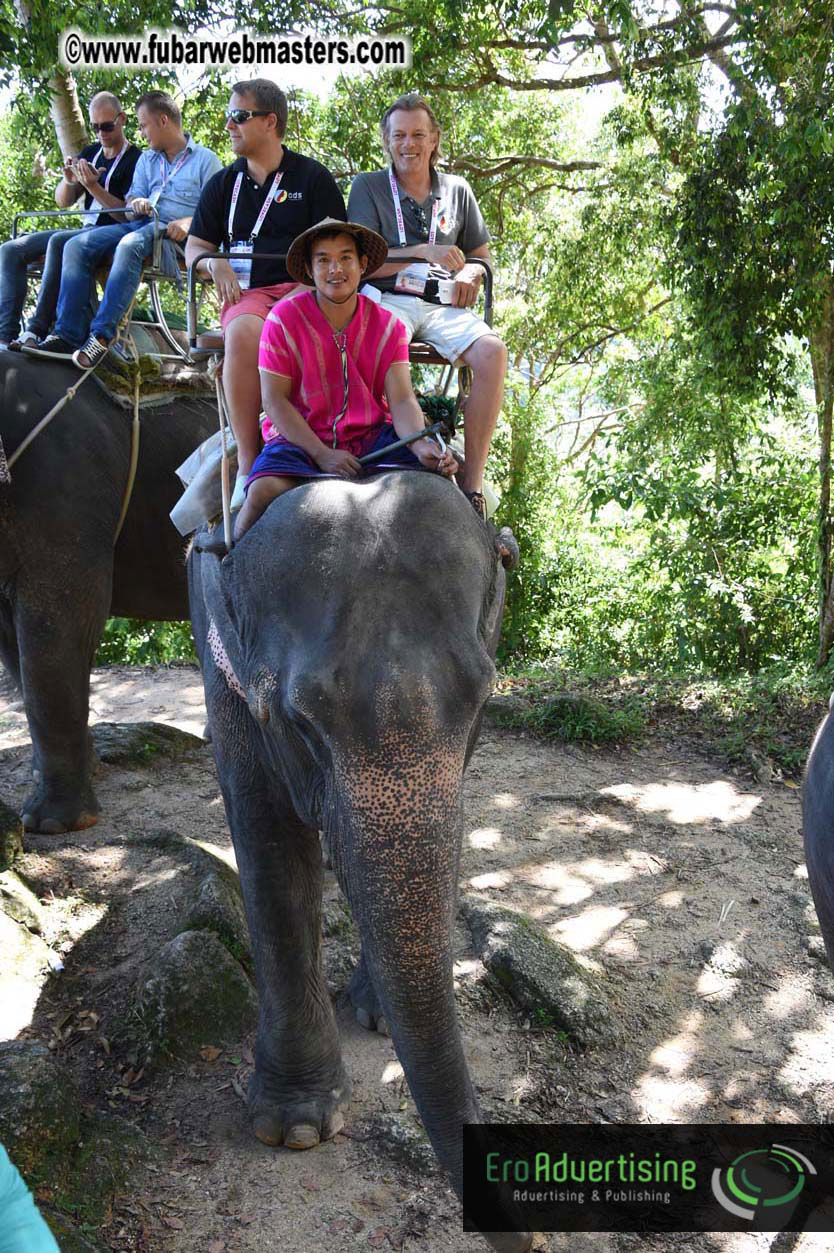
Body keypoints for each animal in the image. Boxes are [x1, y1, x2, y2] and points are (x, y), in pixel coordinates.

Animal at [188, 470, 532, 1251]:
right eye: (301, 722)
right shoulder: (219, 650)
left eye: (483, 699)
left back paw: (373, 1013)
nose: (530, 1235)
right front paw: (295, 1129)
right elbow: (267, 840)